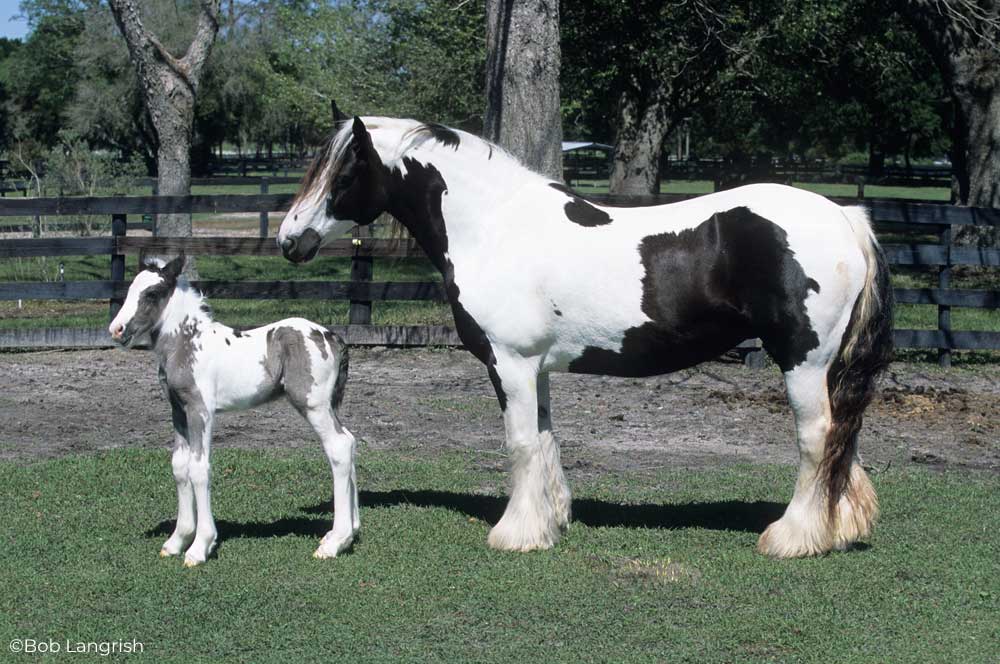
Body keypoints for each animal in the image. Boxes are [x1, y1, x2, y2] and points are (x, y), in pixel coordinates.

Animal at [110, 254, 360, 564]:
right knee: (349, 441)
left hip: (313, 404)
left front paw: (199, 546)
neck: (188, 344)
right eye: (131, 289)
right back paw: (348, 532)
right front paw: (177, 540)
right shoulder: (178, 410)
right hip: (327, 405)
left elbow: (198, 468)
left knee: (338, 447)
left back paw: (335, 543)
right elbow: (179, 466)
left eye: (152, 293)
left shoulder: (200, 410)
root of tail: (332, 337)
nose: (116, 330)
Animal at [278, 116, 896, 556]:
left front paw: (515, 534)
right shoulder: (535, 368)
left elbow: (520, 443)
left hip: (803, 361)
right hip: (828, 368)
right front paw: (550, 521)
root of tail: (844, 217)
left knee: (817, 439)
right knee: (844, 438)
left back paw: (792, 538)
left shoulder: (509, 364)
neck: (494, 227)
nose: (289, 240)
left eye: (342, 174)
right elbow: (545, 439)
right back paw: (840, 528)